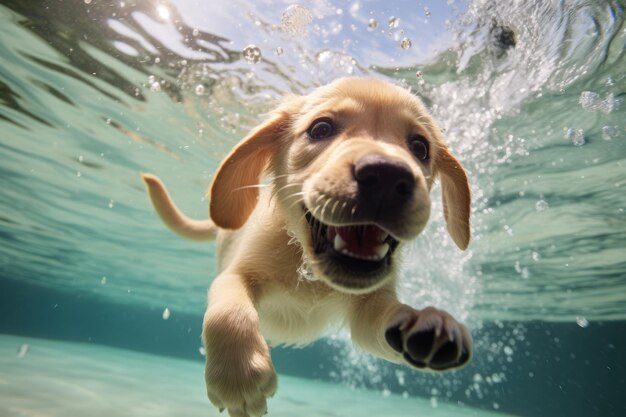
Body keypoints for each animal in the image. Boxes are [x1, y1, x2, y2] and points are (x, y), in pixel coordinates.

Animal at [141, 77, 470, 416]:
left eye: (420, 147)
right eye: (320, 129)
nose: (388, 176)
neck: (309, 269)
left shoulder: (367, 312)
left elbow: (386, 318)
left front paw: (424, 322)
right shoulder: (236, 273)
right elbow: (227, 312)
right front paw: (239, 378)